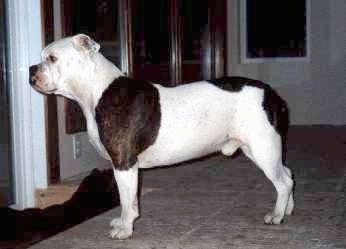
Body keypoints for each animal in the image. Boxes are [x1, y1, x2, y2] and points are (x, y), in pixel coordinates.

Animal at [29, 33, 294, 239]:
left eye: (51, 58)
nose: (31, 69)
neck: (97, 90)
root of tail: (271, 94)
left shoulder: (124, 164)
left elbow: (127, 200)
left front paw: (125, 229)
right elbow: (128, 199)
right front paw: (122, 223)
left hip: (263, 148)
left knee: (283, 181)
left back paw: (276, 215)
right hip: (259, 148)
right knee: (288, 175)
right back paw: (287, 210)